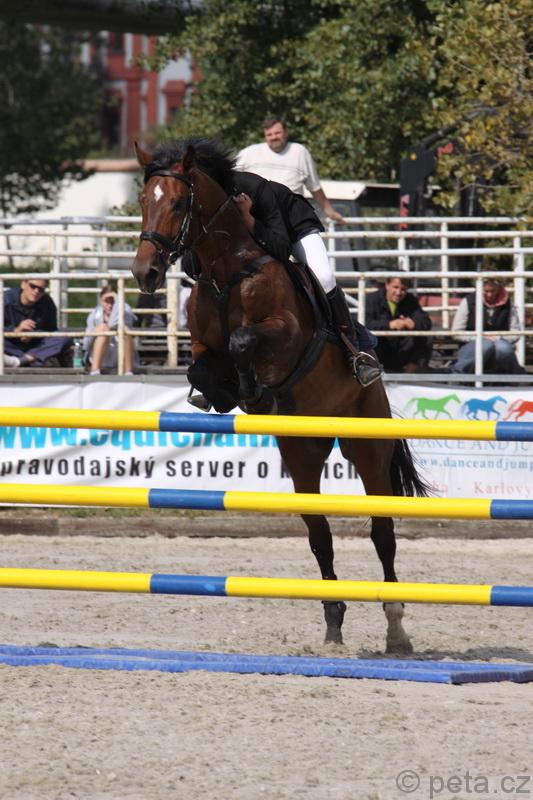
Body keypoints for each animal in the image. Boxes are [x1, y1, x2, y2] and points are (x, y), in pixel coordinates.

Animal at [131, 140, 430, 652]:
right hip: (302, 452)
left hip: (367, 446)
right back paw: (333, 623)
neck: (227, 269)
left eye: (177, 203)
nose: (144, 273)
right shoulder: (202, 346)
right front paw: (222, 394)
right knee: (320, 536)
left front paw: (253, 387)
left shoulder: (287, 334)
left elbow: (244, 341)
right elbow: (203, 365)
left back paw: (396, 630)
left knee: (383, 532)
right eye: (141, 201)